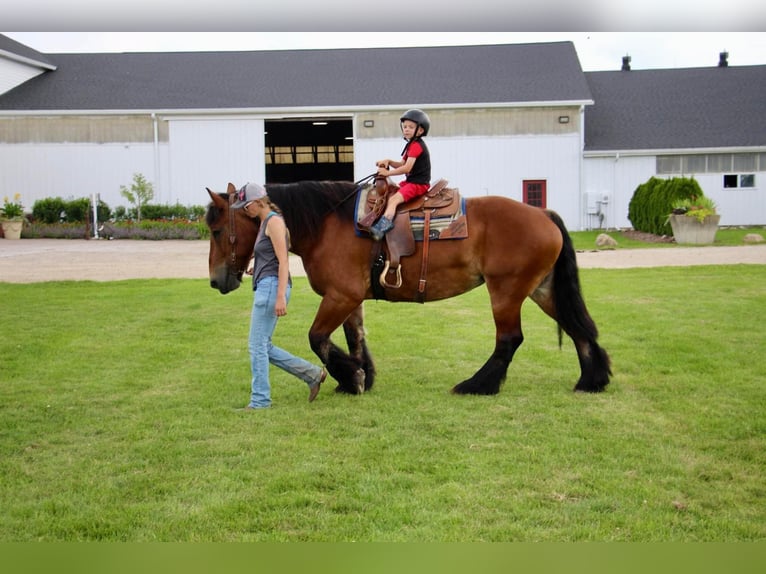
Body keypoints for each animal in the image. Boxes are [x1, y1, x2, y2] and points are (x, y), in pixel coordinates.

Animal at [206, 182, 612, 398]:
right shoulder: (351, 299)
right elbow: (355, 339)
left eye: (216, 229)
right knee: (578, 328)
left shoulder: (340, 297)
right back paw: (591, 380)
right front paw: (361, 377)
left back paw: (478, 384)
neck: (325, 225)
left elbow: (318, 338)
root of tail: (542, 214)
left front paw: (350, 377)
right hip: (541, 289)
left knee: (509, 339)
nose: (215, 280)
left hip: (507, 291)